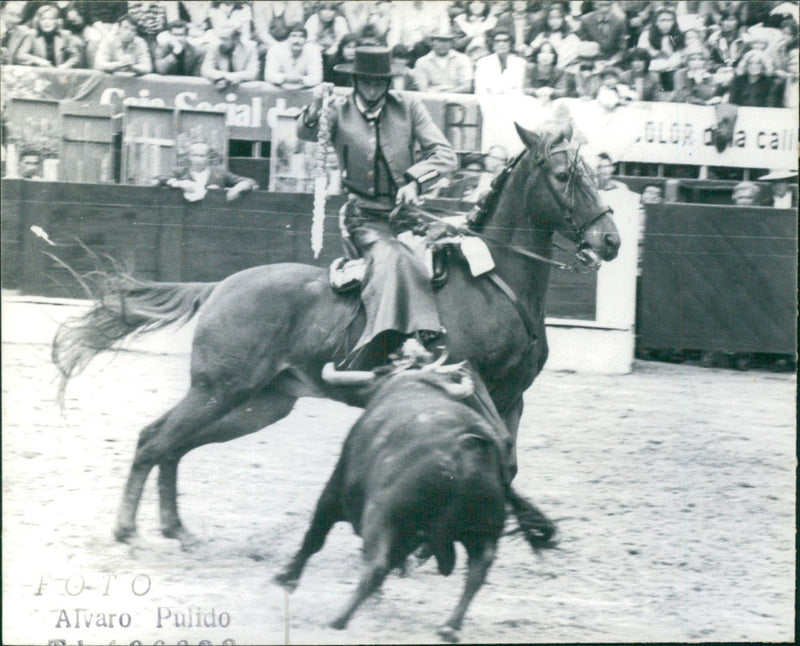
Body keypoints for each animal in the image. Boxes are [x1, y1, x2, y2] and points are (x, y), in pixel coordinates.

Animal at [54, 120, 620, 548]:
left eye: (596, 174)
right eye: (565, 175)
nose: (610, 239)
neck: (492, 278)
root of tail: (220, 287)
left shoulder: (513, 397)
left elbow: (508, 457)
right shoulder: (469, 379)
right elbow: (494, 449)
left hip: (259, 403)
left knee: (173, 445)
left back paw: (177, 529)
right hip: (219, 390)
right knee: (155, 439)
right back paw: (128, 528)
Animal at [276, 370, 556, 644]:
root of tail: (469, 446)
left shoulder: (334, 493)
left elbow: (314, 538)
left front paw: (285, 578)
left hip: (382, 516)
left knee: (376, 565)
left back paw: (338, 619)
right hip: (482, 530)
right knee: (478, 570)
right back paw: (449, 627)